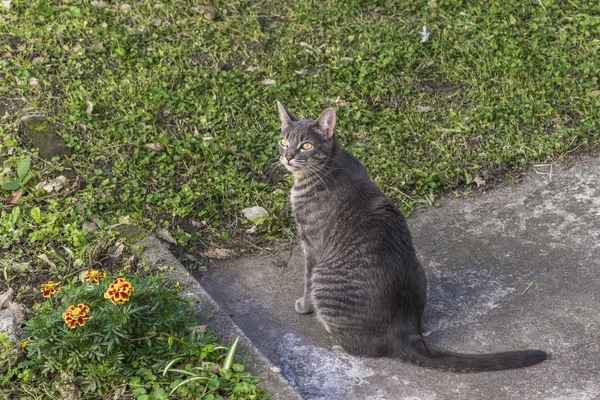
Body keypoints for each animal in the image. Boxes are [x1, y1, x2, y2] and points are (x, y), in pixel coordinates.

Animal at [276, 101, 548, 372]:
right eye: (283, 141)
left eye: (306, 145)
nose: (288, 156)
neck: (329, 166)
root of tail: (403, 331)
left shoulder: (311, 245)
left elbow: (306, 281)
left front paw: (304, 305)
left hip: (326, 280)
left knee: (360, 347)